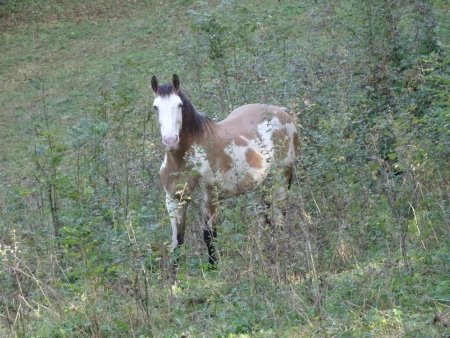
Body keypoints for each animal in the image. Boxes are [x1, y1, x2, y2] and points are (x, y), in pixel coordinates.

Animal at [151, 74, 298, 266]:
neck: (183, 161)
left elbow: (209, 236)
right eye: (155, 107)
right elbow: (177, 242)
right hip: (259, 183)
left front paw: (214, 268)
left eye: (179, 105)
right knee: (263, 216)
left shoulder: (210, 197)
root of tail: (283, 112)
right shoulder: (173, 199)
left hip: (283, 174)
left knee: (279, 213)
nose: (170, 140)